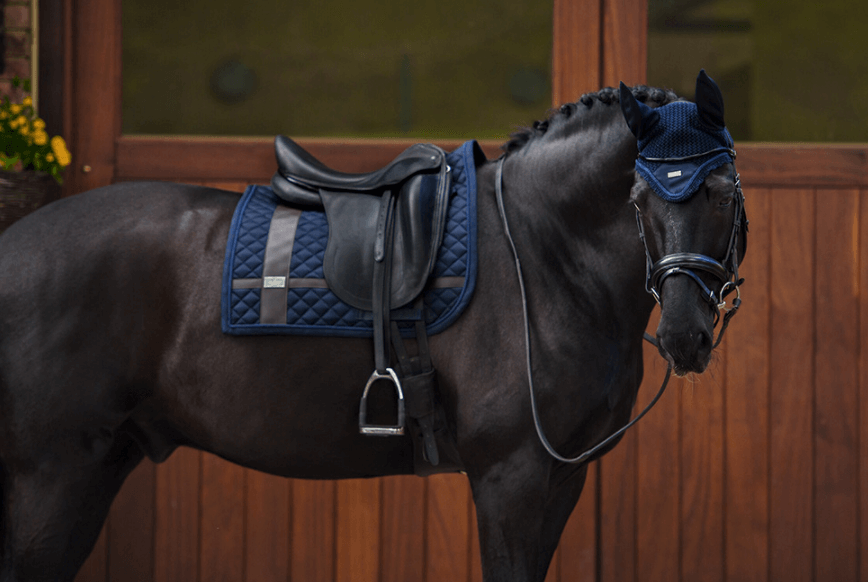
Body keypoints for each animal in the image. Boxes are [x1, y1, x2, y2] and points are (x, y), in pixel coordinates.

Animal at [0, 70, 747, 582]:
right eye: (640, 195)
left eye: (721, 192)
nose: (685, 335)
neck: (542, 252)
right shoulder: (511, 474)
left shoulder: (563, 477)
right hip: (51, 478)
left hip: (97, 466)